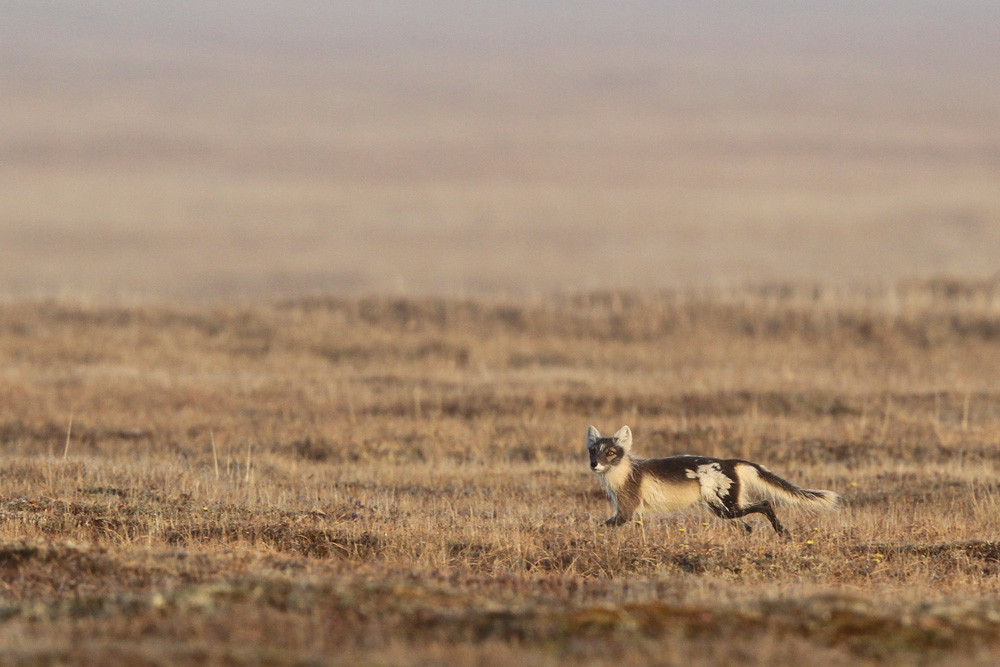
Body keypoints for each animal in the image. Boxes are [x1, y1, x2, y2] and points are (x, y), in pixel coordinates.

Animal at [586, 425, 839, 536]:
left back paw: (782, 532)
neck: (623, 474)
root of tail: (731, 462)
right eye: (592, 451)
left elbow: (603, 526)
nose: (594, 465)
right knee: (748, 526)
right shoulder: (627, 509)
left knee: (765, 504)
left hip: (726, 505)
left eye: (611, 452)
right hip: (721, 508)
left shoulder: (627, 509)